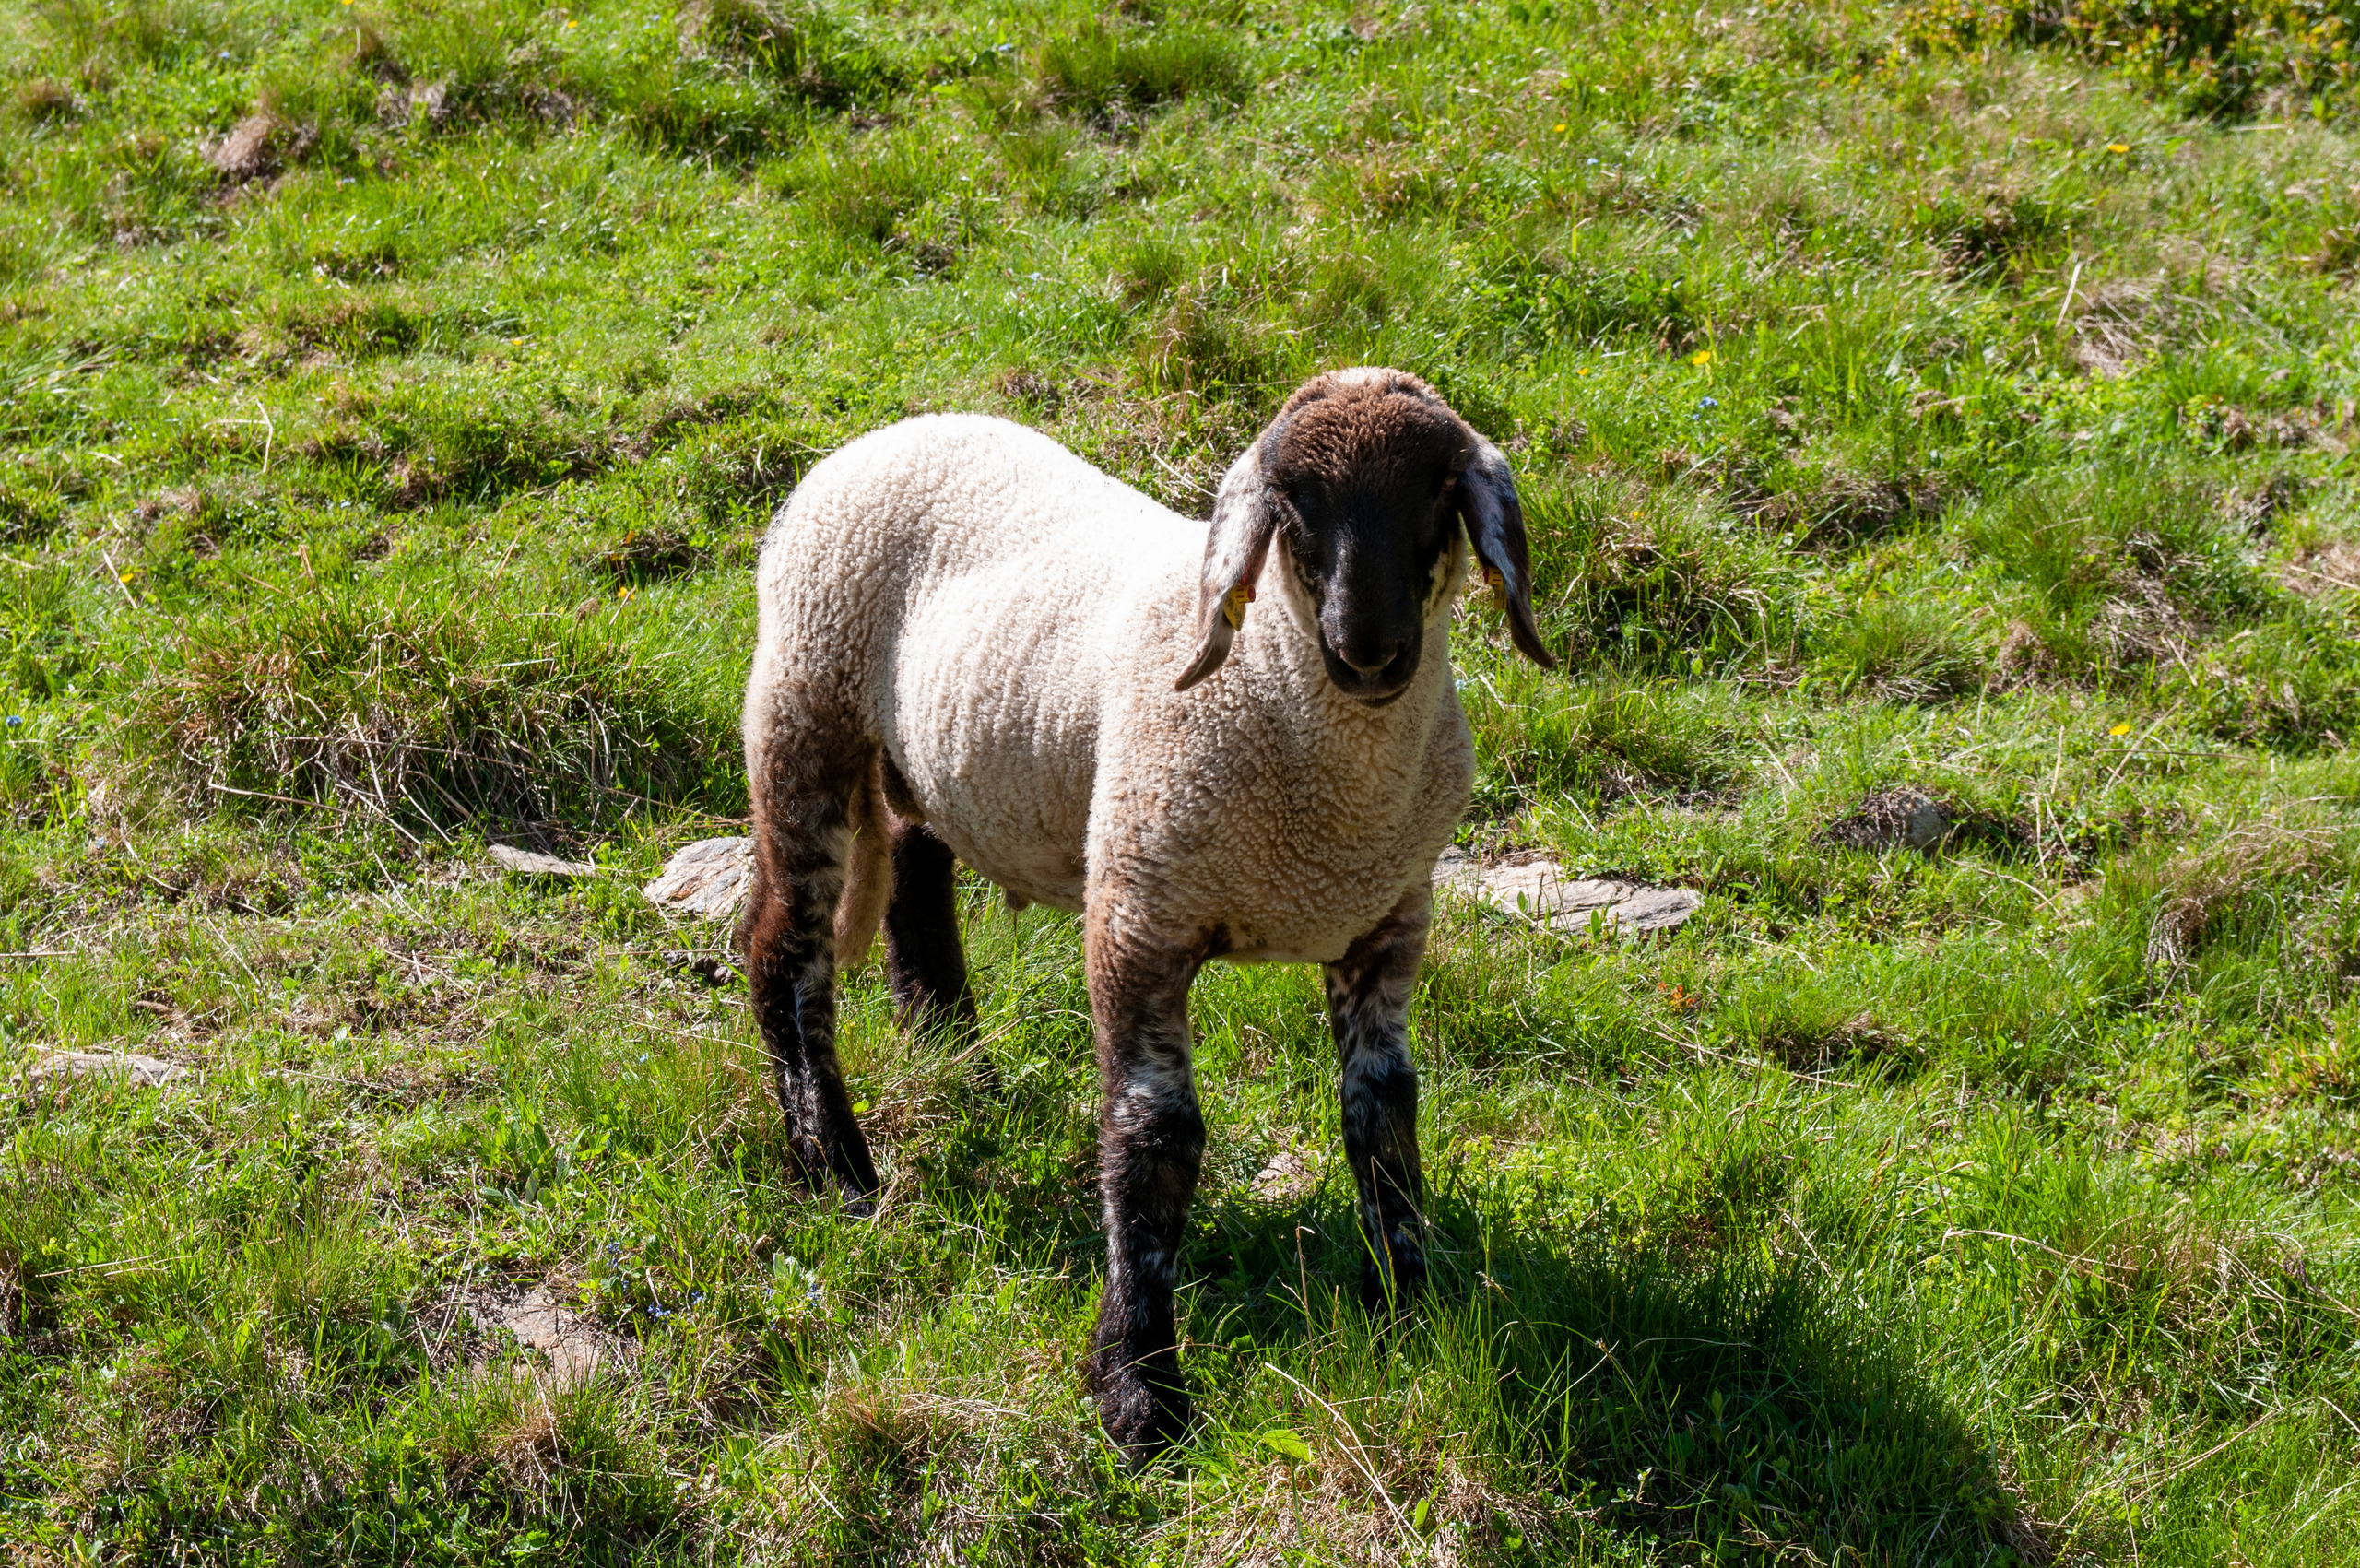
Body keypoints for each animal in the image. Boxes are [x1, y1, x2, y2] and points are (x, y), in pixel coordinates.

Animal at [738, 366, 1555, 1458]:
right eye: (1293, 502)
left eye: (1436, 491)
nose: (1368, 649)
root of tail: (887, 434)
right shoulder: (1137, 913)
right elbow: (1153, 1136)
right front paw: (1139, 1389)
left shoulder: (1387, 923)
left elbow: (1383, 1114)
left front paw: (1409, 1309)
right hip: (805, 710)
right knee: (784, 950)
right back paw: (835, 1164)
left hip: (935, 758)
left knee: (915, 873)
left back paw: (956, 1059)